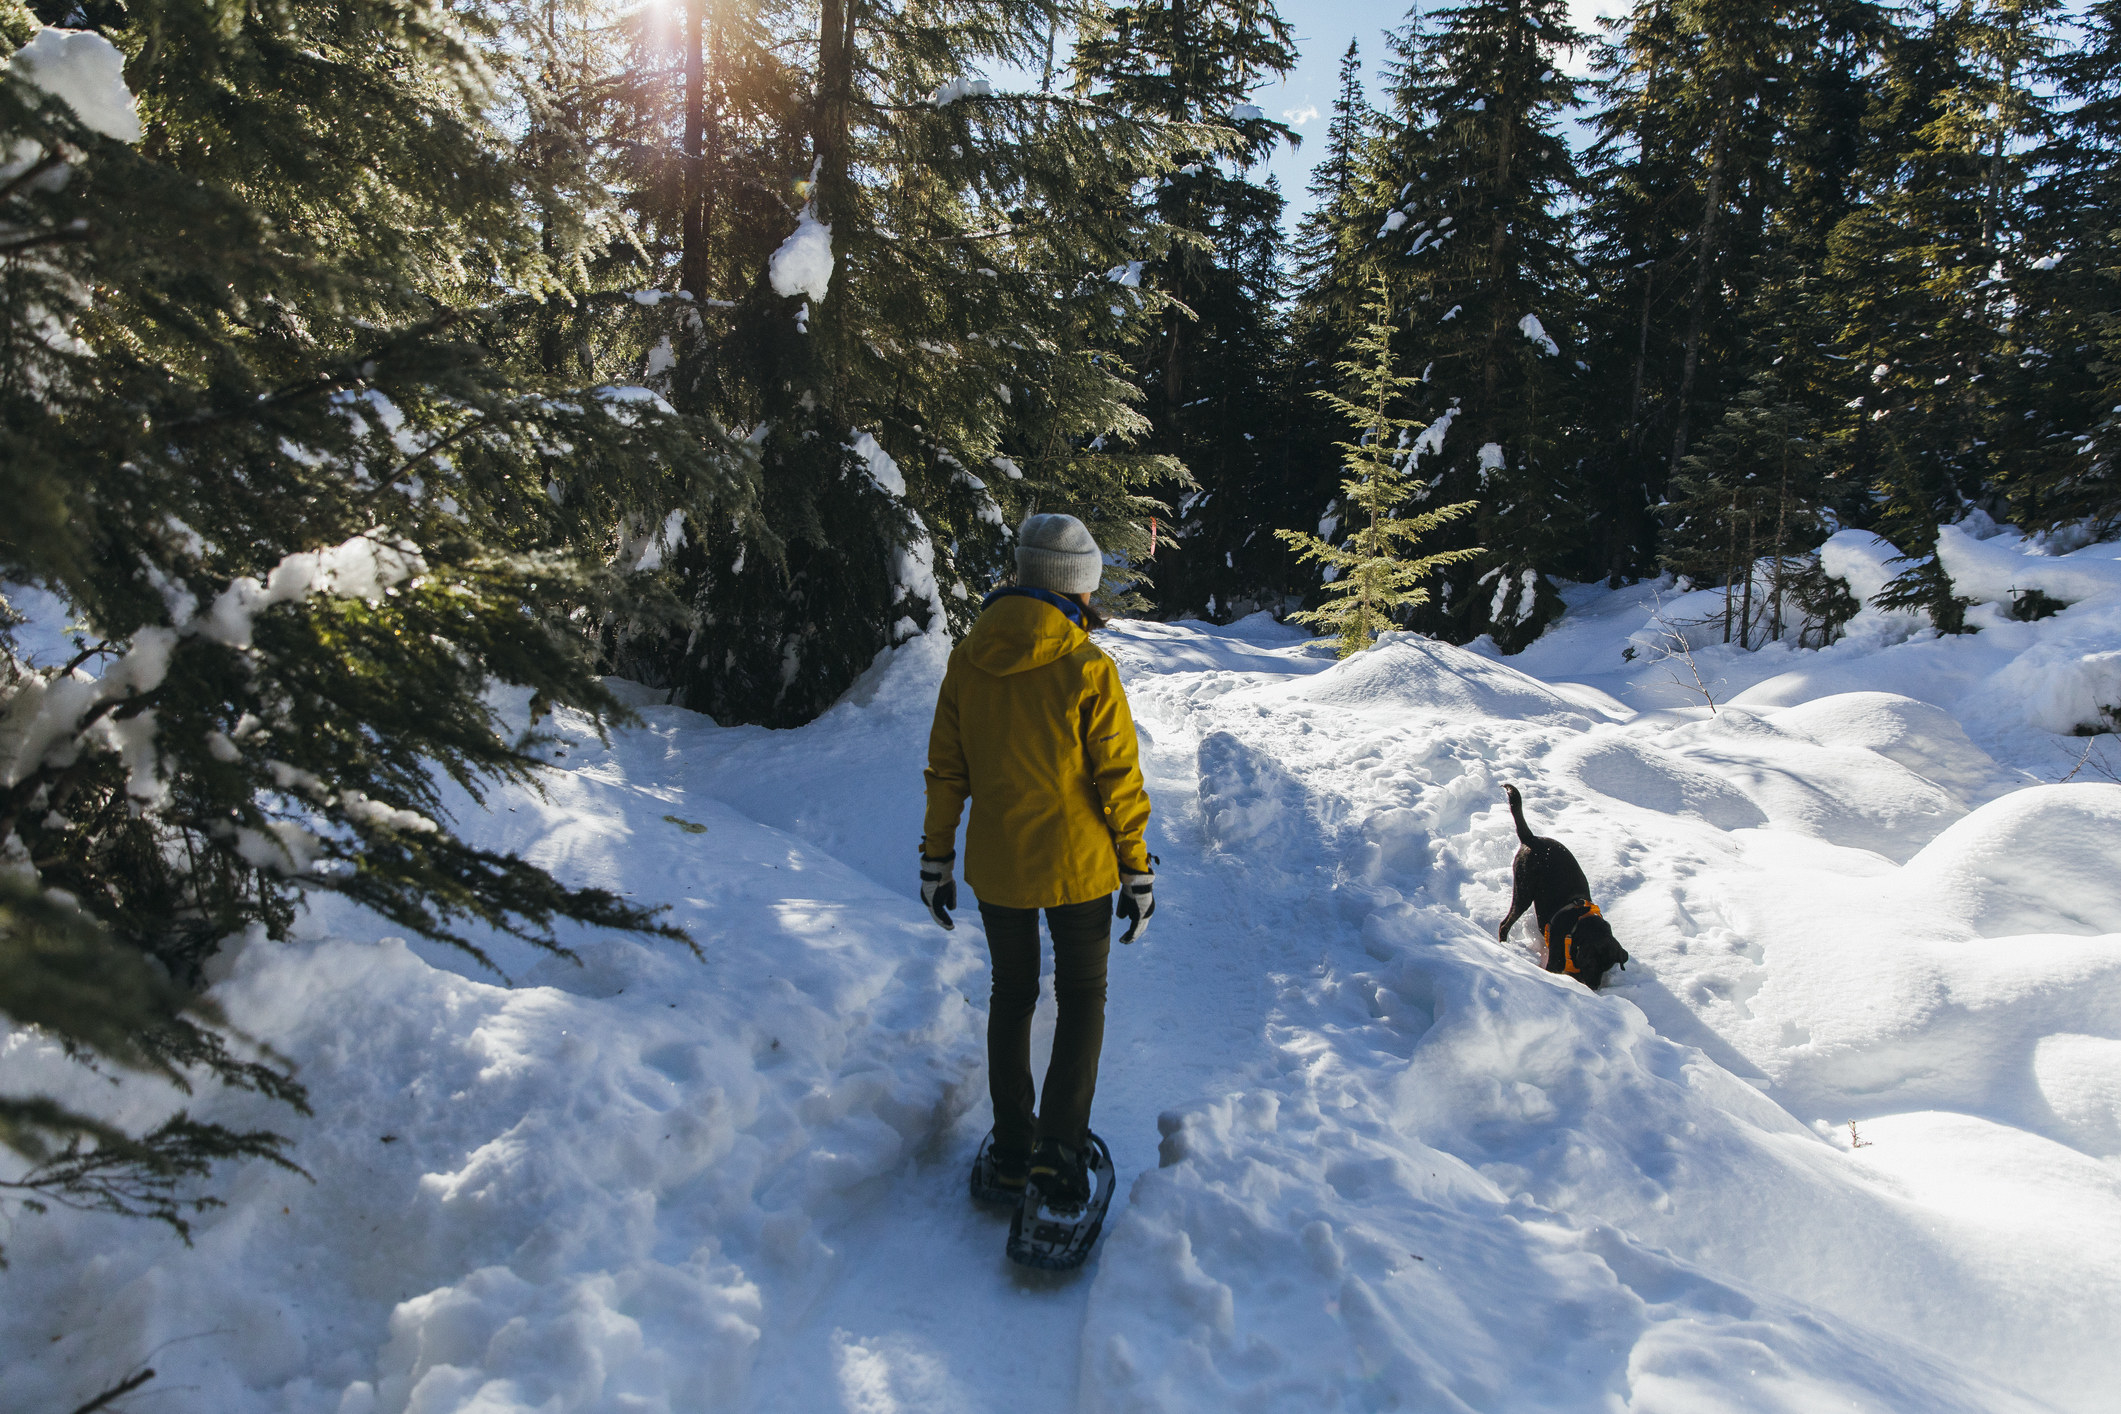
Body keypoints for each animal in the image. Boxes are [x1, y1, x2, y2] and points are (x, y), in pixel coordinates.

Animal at [1501, 784, 1628, 996]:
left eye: (1607, 968)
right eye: (1591, 963)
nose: (1594, 987)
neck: (1578, 926)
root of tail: (1532, 839)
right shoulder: (1554, 964)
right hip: (1523, 890)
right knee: (1504, 924)